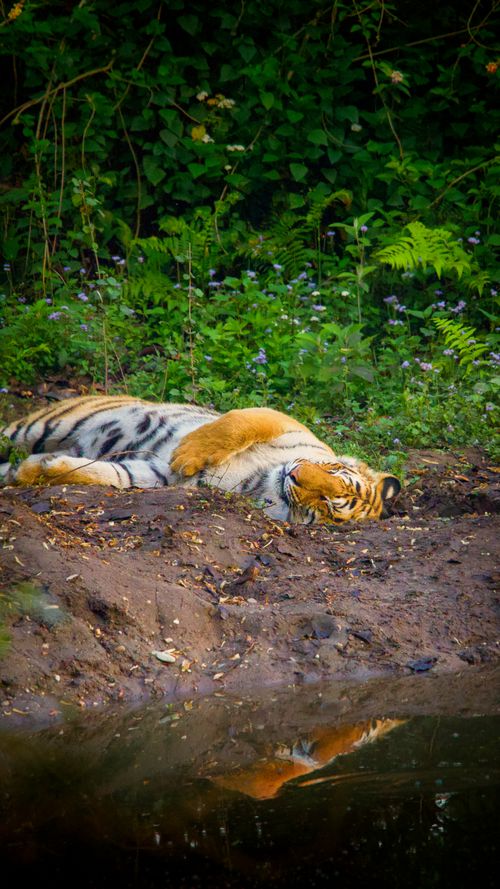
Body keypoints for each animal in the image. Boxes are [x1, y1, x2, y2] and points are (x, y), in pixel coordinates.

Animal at [0, 395, 400, 524]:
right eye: (332, 469)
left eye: (326, 504)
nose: (297, 474)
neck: (266, 482)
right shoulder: (283, 421)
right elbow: (237, 423)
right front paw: (187, 452)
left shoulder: (157, 476)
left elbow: (109, 475)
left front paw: (34, 471)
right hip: (41, 425)